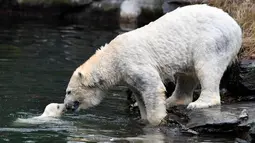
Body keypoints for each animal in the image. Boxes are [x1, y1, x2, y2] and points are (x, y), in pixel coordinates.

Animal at [63, 4, 241, 125]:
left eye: (69, 91)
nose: (66, 106)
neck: (113, 57)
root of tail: (236, 26)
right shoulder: (128, 75)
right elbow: (140, 93)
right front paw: (142, 115)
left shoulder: (133, 61)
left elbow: (152, 88)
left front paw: (155, 121)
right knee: (186, 75)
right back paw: (172, 100)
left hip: (213, 40)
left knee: (207, 68)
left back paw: (199, 103)